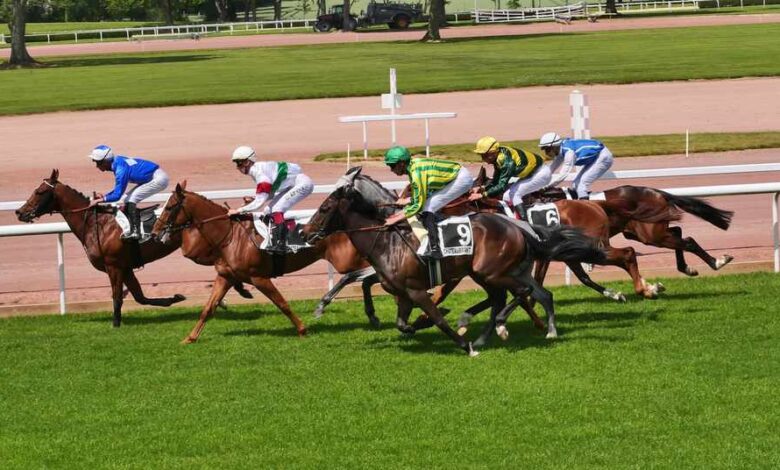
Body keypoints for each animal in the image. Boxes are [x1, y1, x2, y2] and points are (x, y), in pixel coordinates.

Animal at [302, 170, 608, 356]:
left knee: (519, 294)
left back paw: (500, 327)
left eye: (325, 208)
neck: (387, 238)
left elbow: (437, 317)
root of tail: (518, 226)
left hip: (490, 272)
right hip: (502, 272)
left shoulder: (416, 289)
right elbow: (398, 319)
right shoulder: (403, 292)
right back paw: (542, 330)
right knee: (535, 294)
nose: (305, 233)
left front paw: (462, 342)